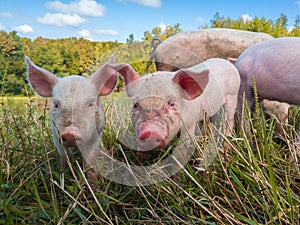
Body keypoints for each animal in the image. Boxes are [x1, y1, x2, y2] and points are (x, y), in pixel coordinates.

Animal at [25, 55, 118, 184]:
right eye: (56, 104)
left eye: (90, 103)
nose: (70, 132)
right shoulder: (55, 134)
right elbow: (65, 156)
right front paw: (63, 175)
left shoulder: (97, 133)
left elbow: (89, 159)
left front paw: (92, 182)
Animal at [111, 58, 240, 153]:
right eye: (135, 105)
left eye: (171, 103)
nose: (150, 131)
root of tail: (227, 62)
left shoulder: (189, 123)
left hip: (233, 95)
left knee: (229, 117)